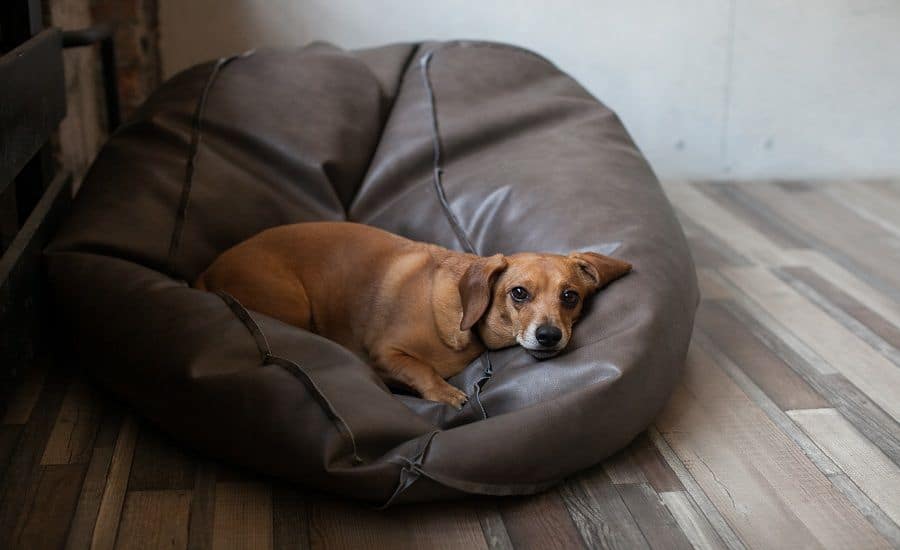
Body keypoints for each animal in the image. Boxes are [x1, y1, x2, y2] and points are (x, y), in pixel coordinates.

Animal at [195, 222, 632, 408]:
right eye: (519, 294)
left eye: (570, 296)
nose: (549, 336)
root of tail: (207, 271)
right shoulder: (386, 352)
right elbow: (420, 369)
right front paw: (445, 393)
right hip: (294, 306)